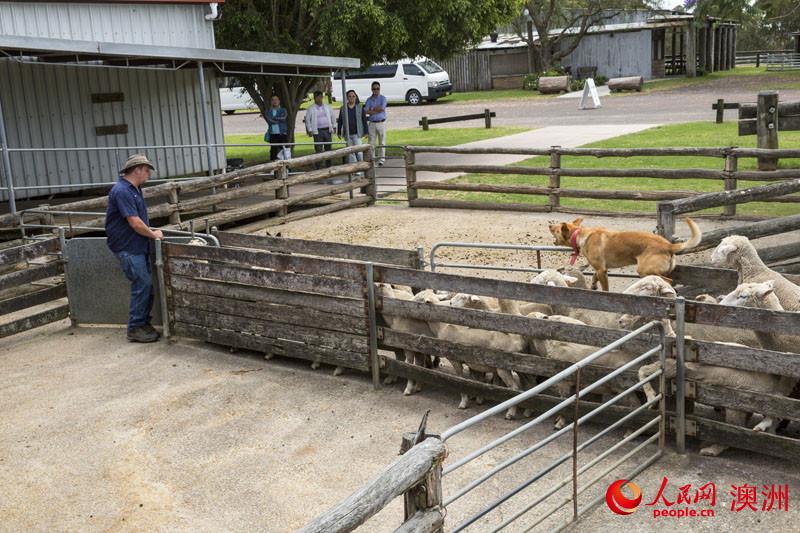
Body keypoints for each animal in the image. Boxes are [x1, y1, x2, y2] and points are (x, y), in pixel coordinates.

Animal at [552, 217, 700, 290]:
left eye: (557, 229)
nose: (549, 225)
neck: (579, 234)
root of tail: (669, 245)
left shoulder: (602, 270)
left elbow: (605, 288)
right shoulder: (600, 268)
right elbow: (594, 276)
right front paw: (593, 285)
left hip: (644, 270)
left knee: (669, 281)